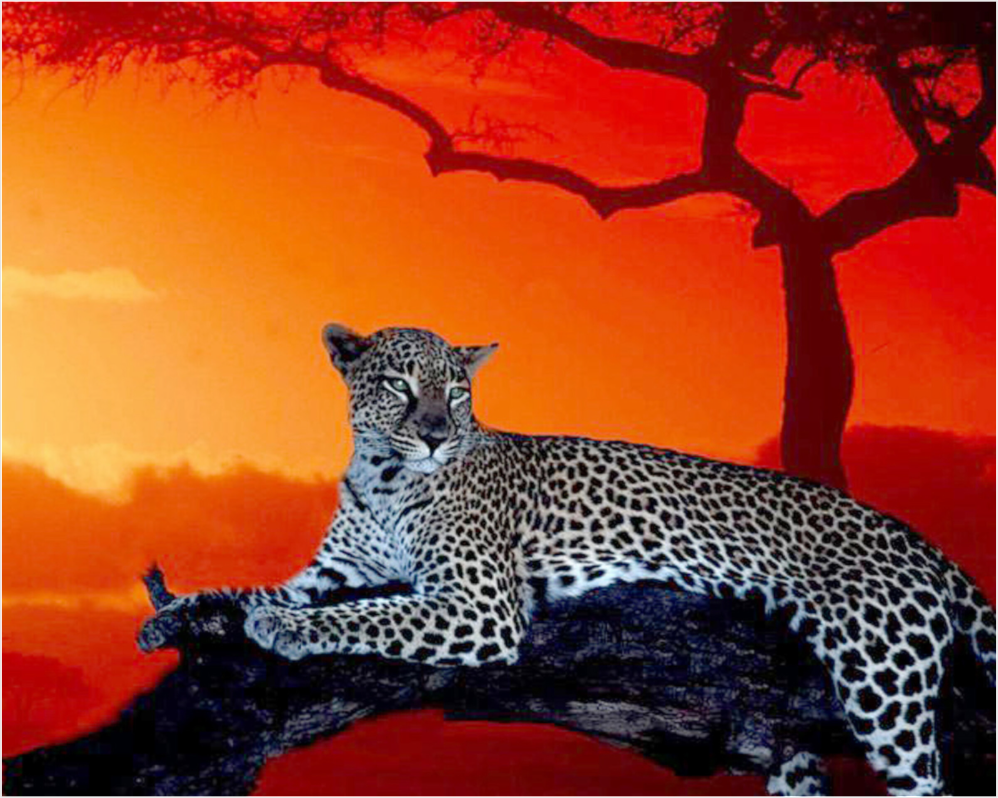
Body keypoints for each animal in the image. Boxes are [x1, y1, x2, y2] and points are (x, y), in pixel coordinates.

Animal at [139, 324, 996, 797]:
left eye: (456, 392)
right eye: (399, 387)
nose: (436, 435)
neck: (382, 475)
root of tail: (917, 539)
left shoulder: (478, 604)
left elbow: (373, 613)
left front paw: (284, 630)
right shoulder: (331, 571)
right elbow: (249, 587)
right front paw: (183, 613)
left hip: (882, 675)